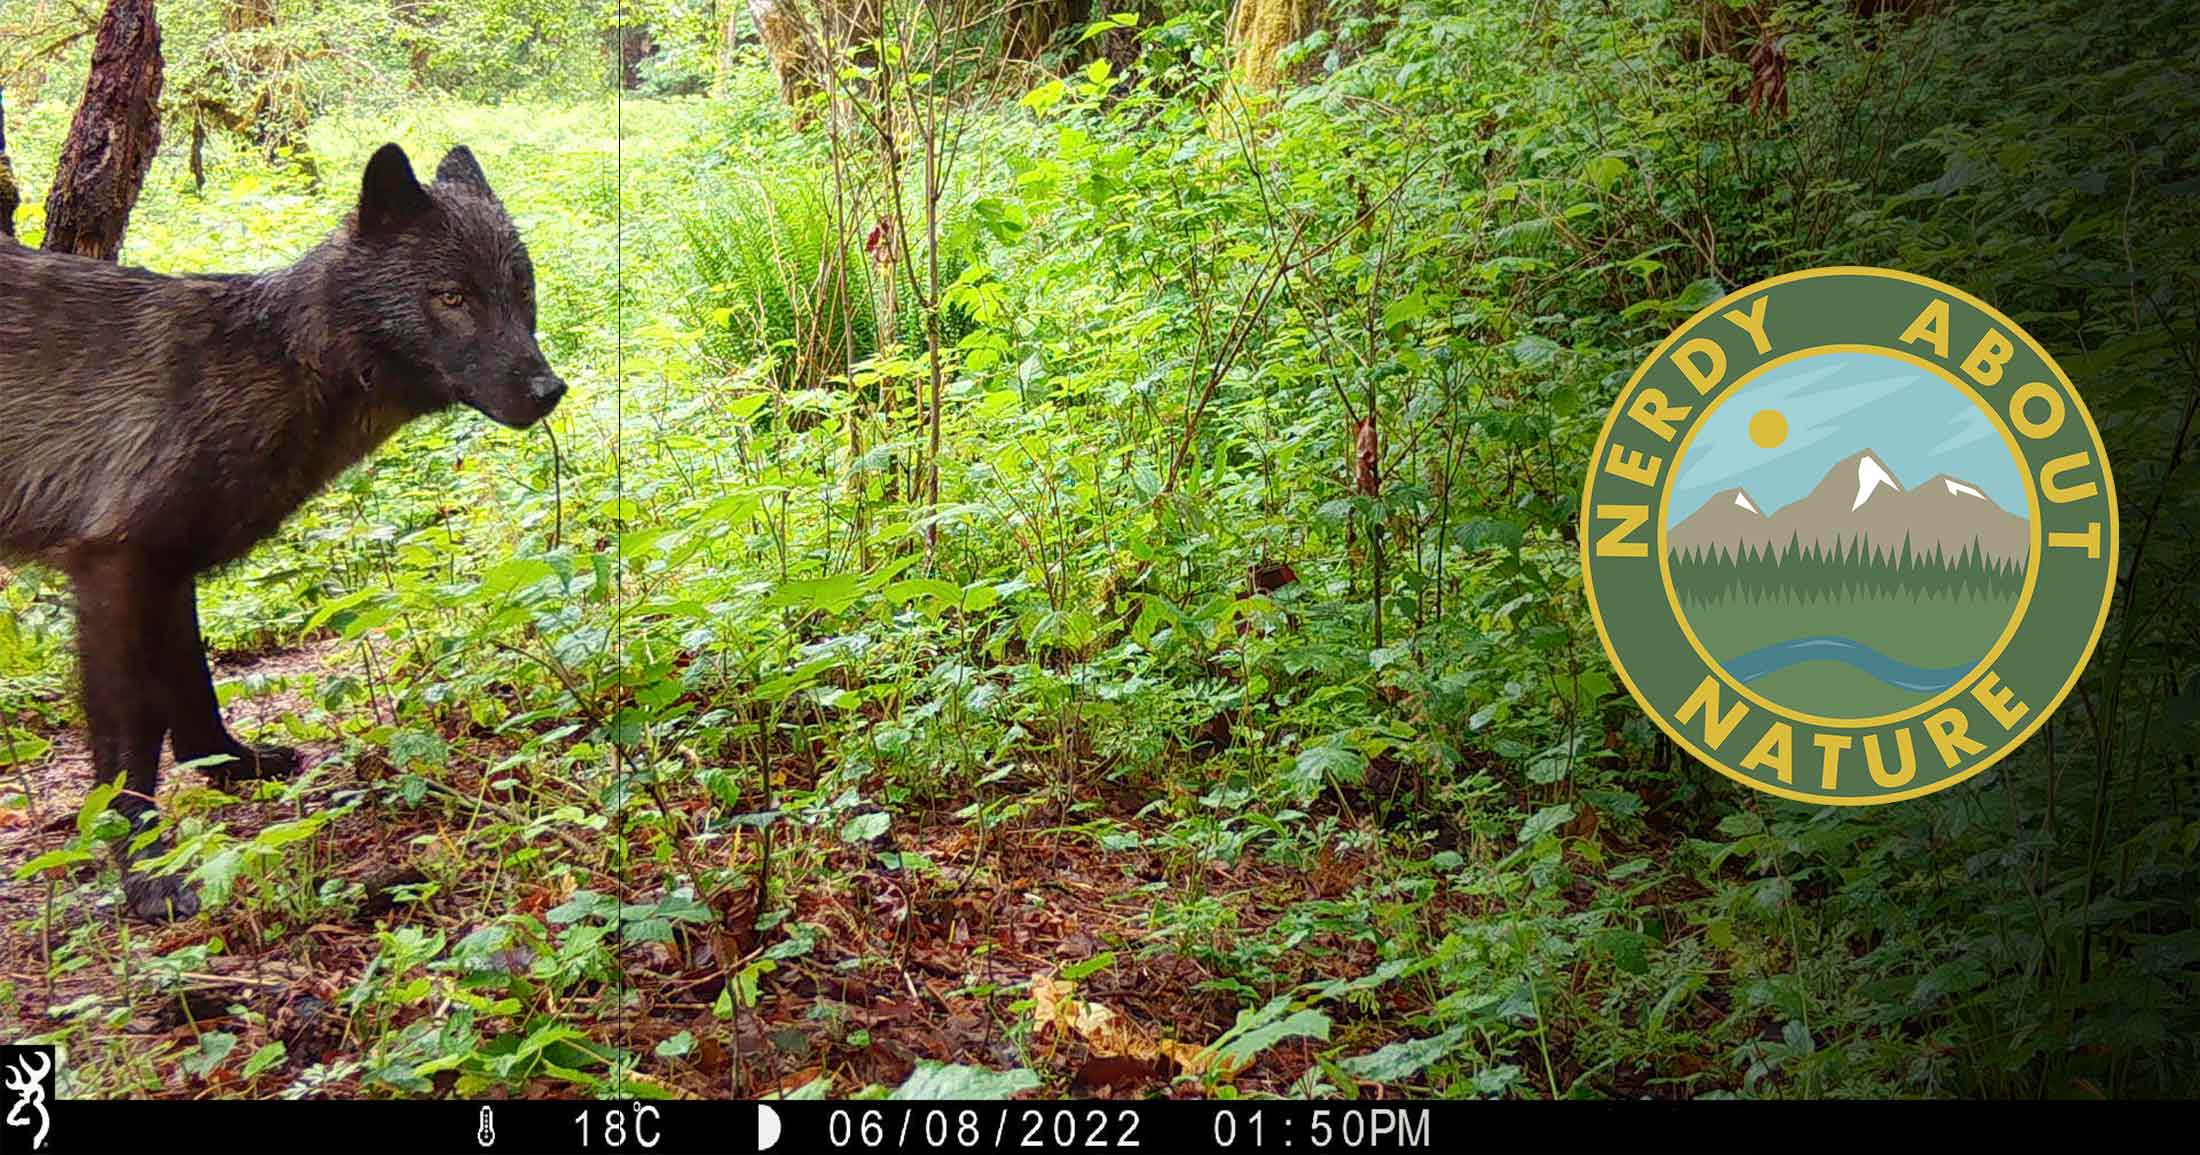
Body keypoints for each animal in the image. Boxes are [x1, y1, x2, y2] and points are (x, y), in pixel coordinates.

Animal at [0, 144, 565, 920]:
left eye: (521, 287)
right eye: (453, 297)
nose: (549, 391)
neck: (281, 363)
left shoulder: (171, 570)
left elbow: (195, 696)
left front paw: (234, 767)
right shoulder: (116, 568)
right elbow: (131, 747)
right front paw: (146, 875)